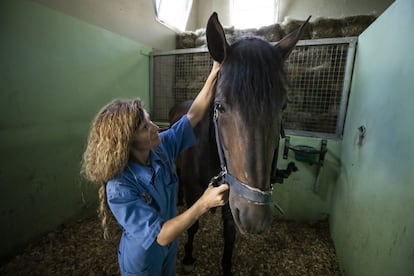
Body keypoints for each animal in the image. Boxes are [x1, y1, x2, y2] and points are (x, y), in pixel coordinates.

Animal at [170, 12, 308, 274]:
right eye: (220, 106)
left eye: (283, 106)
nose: (255, 217)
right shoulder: (195, 192)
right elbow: (192, 225)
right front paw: (189, 257)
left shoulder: (229, 202)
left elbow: (230, 236)